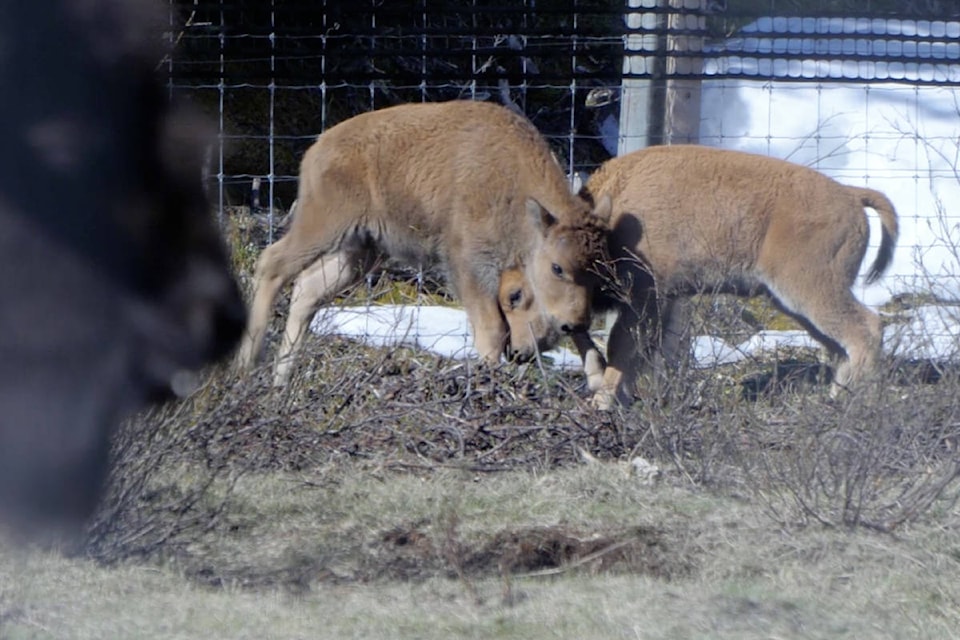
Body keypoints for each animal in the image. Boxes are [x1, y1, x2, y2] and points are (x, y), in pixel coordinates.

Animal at [240, 100, 612, 384]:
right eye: (556, 267)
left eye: (599, 271)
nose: (521, 353)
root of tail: (317, 148)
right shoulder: (468, 266)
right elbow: (492, 329)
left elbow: (588, 343)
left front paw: (600, 387)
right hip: (324, 226)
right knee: (272, 264)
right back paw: (248, 365)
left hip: (361, 251)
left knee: (307, 290)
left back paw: (280, 382)